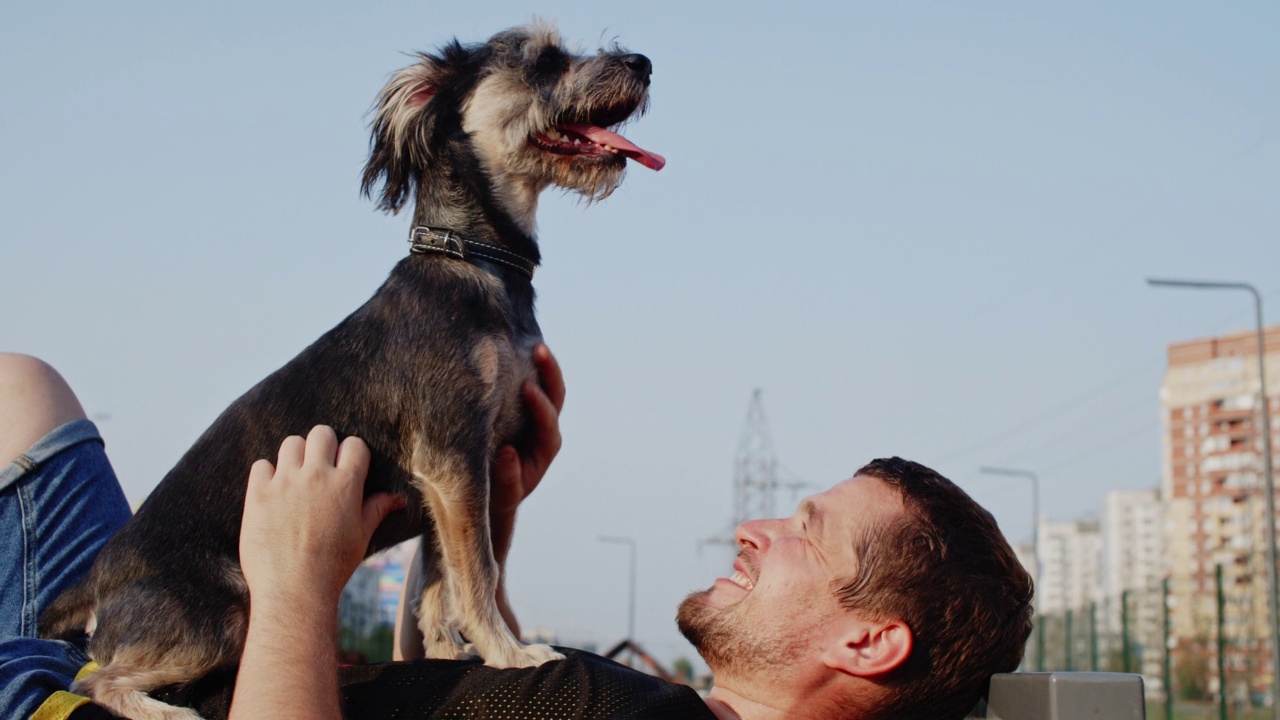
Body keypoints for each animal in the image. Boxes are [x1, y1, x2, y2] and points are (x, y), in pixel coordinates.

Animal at [38, 22, 660, 717]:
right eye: (544, 59)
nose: (644, 63)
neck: (472, 258)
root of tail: (97, 576)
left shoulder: (454, 478)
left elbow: (439, 585)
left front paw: (448, 654)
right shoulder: (452, 455)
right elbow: (478, 572)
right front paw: (510, 653)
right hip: (221, 611)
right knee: (91, 680)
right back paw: (169, 711)